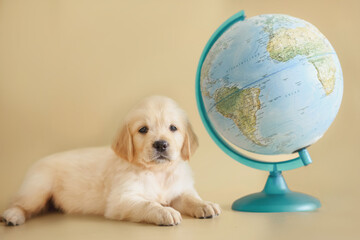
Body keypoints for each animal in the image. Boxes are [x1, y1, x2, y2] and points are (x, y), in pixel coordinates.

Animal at [1, 94, 221, 226]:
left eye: (173, 128)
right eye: (143, 129)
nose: (160, 145)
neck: (157, 172)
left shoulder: (179, 189)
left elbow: (190, 198)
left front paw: (205, 205)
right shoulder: (121, 200)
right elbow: (148, 204)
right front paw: (164, 212)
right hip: (38, 188)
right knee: (19, 203)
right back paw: (12, 216)